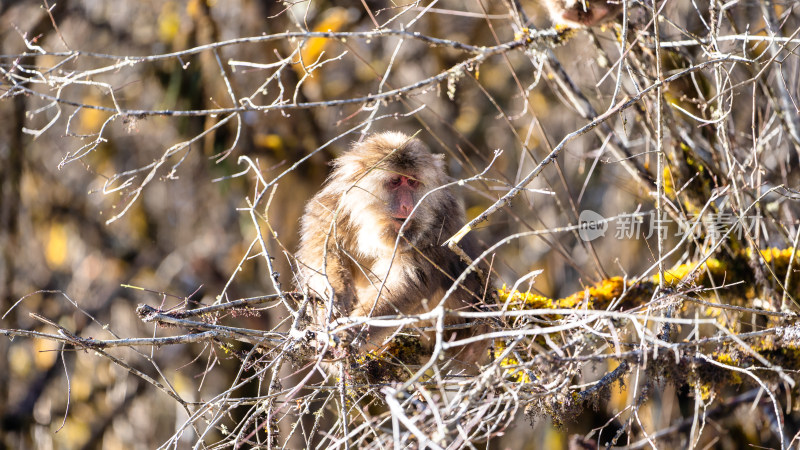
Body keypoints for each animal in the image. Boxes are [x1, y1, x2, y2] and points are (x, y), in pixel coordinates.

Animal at [296, 132, 490, 374]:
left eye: (413, 182)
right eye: (396, 182)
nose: (407, 206)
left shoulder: (438, 225)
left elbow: (409, 279)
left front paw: (350, 332)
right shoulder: (330, 209)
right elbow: (320, 256)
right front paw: (336, 298)